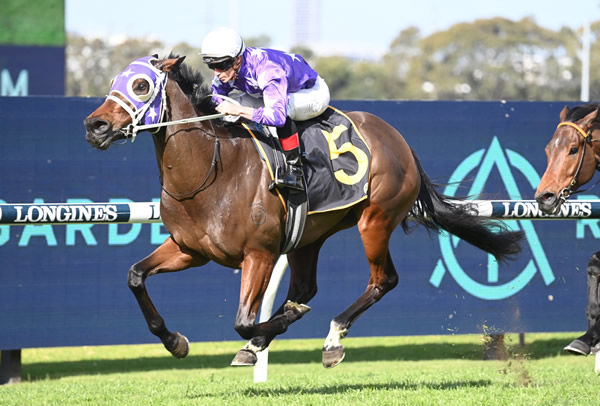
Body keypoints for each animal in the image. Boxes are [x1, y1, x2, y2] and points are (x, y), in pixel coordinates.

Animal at [84, 55, 524, 370]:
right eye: (115, 82)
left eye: (140, 85)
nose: (95, 125)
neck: (212, 170)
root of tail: (395, 137)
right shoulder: (190, 250)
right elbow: (135, 276)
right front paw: (175, 342)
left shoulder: (259, 254)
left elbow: (243, 319)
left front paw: (268, 329)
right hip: (307, 238)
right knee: (305, 288)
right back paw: (270, 337)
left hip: (375, 220)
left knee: (383, 280)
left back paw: (330, 339)